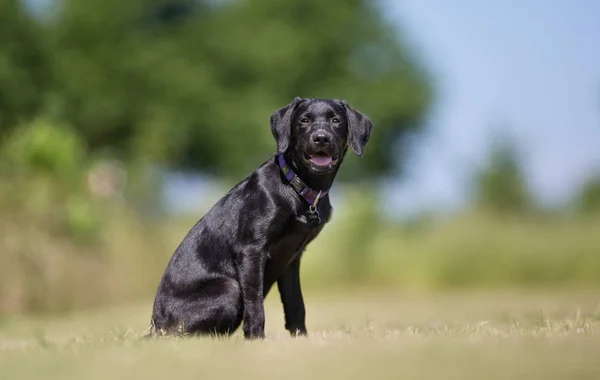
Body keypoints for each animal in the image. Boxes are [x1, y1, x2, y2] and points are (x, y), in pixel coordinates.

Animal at [146, 96, 370, 340]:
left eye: (336, 120)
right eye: (304, 120)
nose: (321, 138)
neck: (298, 188)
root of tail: (156, 326)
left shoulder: (292, 257)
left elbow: (296, 304)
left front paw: (301, 338)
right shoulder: (251, 250)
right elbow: (255, 305)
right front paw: (256, 339)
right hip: (229, 288)